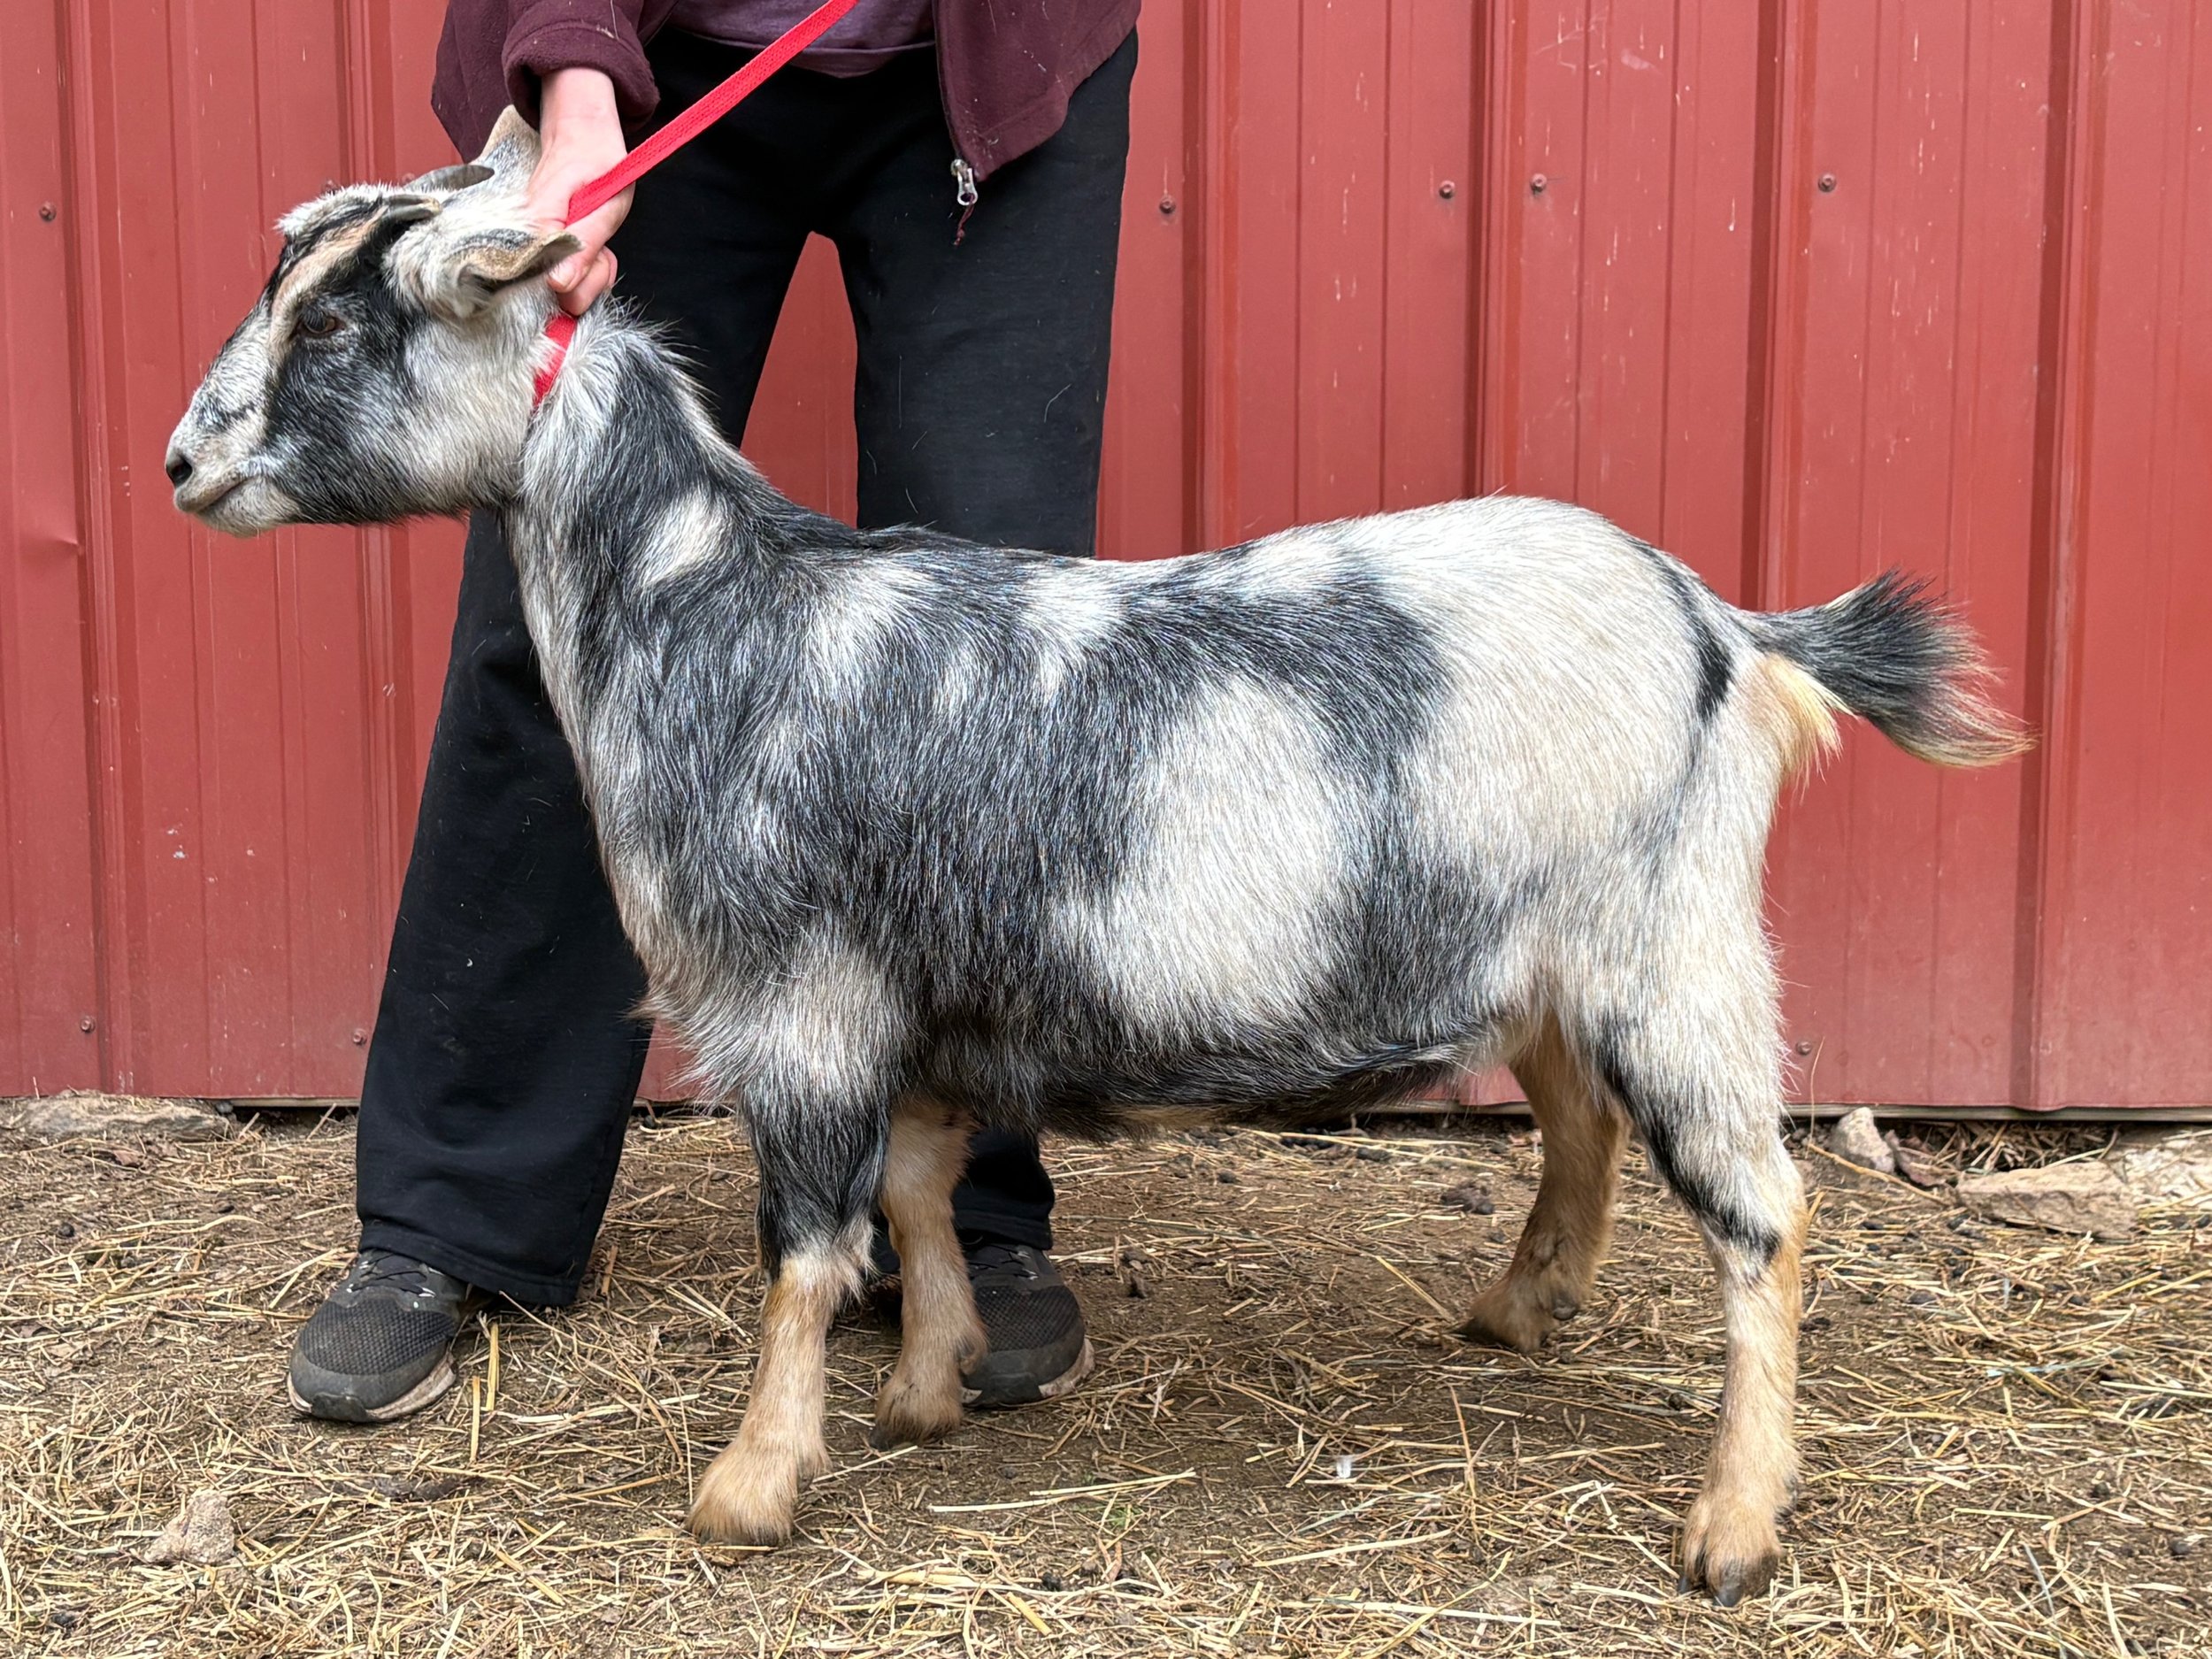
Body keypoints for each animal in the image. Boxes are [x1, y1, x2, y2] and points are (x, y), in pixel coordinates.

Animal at [167, 110, 2029, 1604]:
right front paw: (929, 1383)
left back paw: (1734, 1525)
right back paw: (1522, 1310)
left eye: (336, 317)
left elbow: (804, 1247)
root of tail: (1725, 626)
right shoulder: (916, 991)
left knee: (1765, 1216)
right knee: (1583, 1121)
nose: (182, 463)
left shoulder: (803, 1003)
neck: (715, 610)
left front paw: (752, 1486)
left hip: (1674, 948)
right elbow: (917, 1191)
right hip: (1556, 943)